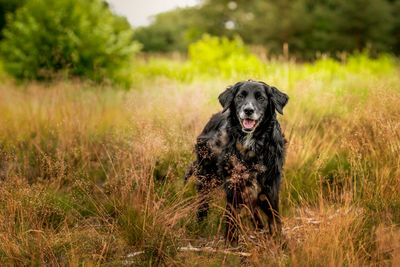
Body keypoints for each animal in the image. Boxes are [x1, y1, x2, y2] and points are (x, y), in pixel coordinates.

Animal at [183, 80, 290, 245]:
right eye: (240, 96)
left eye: (261, 98)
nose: (248, 110)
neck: (251, 143)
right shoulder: (233, 183)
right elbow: (231, 216)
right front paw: (231, 242)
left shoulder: (270, 184)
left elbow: (273, 216)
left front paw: (277, 240)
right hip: (206, 177)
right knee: (203, 205)